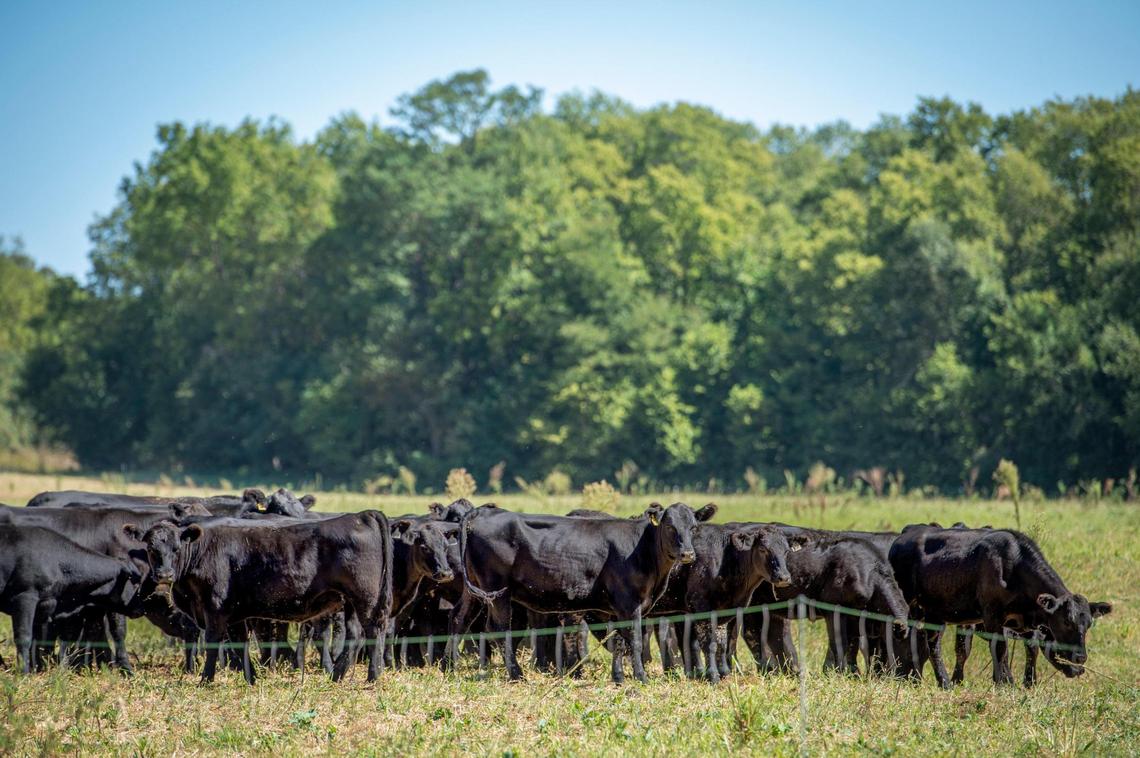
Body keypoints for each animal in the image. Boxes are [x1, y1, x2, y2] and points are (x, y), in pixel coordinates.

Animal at [128, 511, 394, 684]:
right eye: (151, 549)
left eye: (176, 548)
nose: (164, 574)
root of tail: (361, 515)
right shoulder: (234, 614)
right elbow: (239, 645)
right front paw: (251, 678)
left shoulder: (214, 609)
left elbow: (215, 643)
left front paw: (206, 680)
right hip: (349, 601)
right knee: (355, 635)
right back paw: (338, 676)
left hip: (366, 599)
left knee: (373, 632)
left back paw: (373, 677)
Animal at [456, 502, 715, 683]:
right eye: (670, 527)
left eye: (693, 528)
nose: (688, 554)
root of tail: (482, 512)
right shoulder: (629, 604)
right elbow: (635, 641)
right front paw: (641, 677)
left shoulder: (616, 608)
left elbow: (618, 641)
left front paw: (618, 677)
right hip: (498, 592)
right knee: (500, 630)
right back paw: (516, 675)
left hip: (477, 592)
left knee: (465, 621)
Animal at [889, 524, 1112, 687]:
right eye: (1066, 621)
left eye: (1089, 624)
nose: (1080, 659)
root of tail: (904, 536)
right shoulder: (992, 616)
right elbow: (1000, 649)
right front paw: (1003, 683)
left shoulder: (1022, 621)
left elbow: (1031, 648)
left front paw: (1027, 683)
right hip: (912, 605)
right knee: (912, 637)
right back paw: (918, 678)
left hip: (935, 613)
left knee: (932, 643)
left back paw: (942, 682)